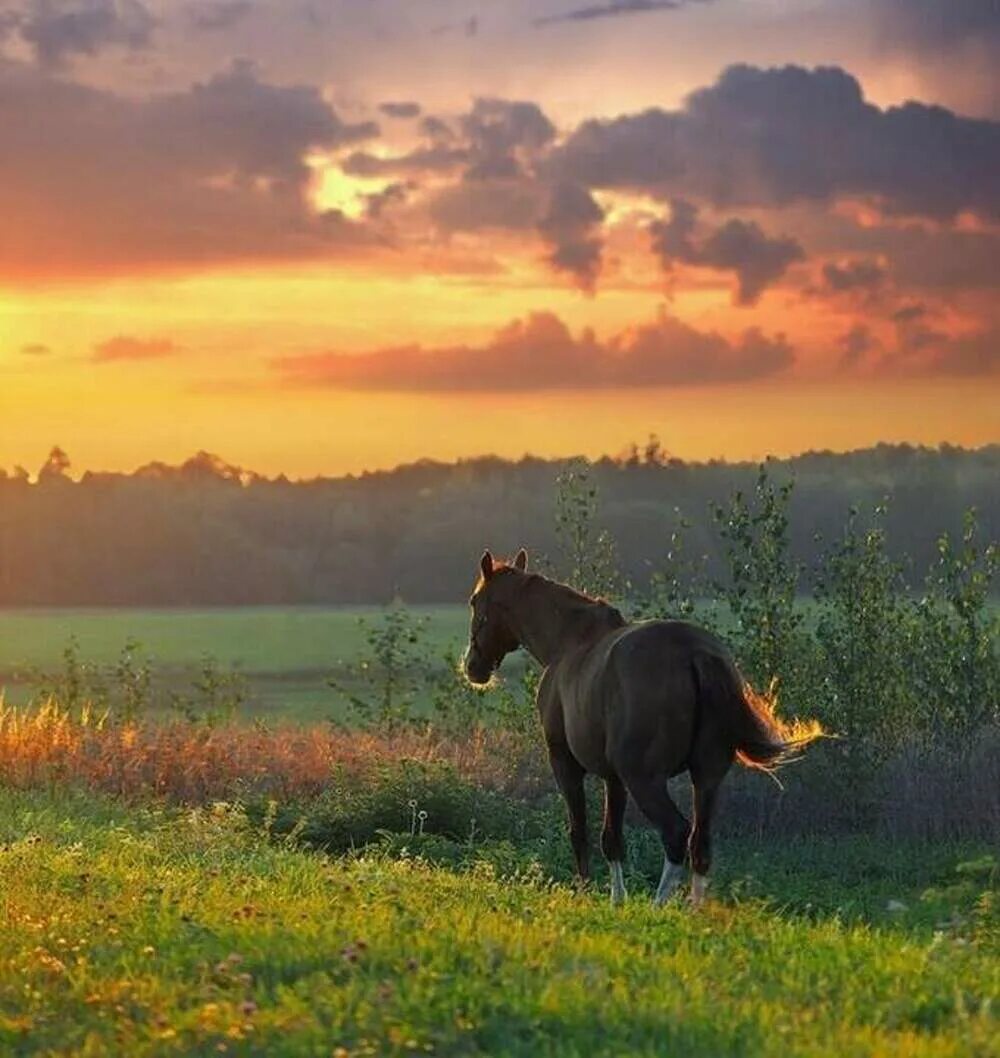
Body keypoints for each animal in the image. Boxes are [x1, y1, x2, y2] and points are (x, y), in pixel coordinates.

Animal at [463, 550, 825, 905]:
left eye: (474, 600)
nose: (472, 667)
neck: (570, 642)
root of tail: (696, 653)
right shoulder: (613, 777)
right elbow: (612, 838)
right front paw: (617, 901)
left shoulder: (566, 763)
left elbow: (579, 832)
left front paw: (586, 894)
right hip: (706, 778)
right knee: (700, 844)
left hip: (645, 779)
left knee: (676, 834)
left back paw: (658, 906)